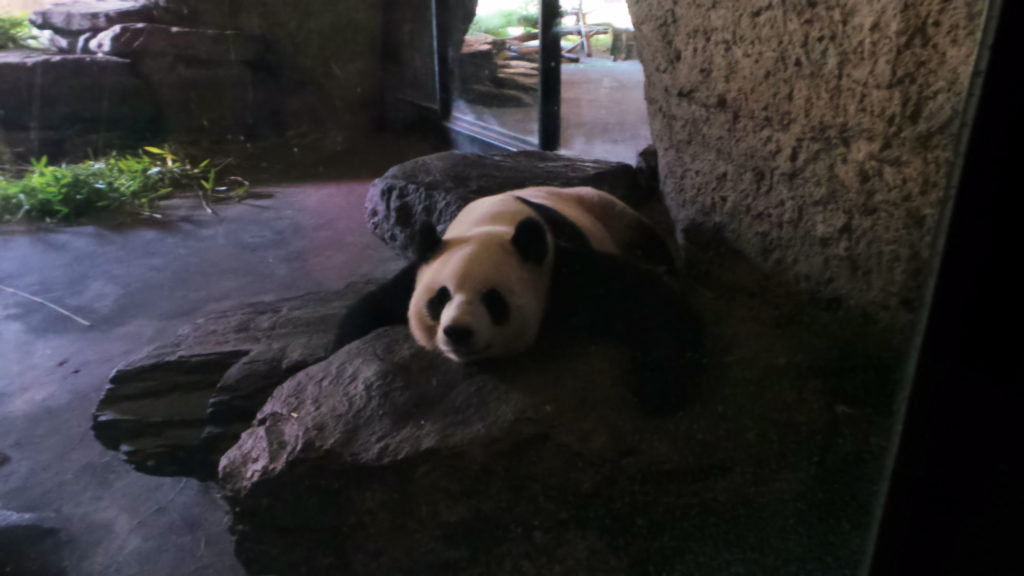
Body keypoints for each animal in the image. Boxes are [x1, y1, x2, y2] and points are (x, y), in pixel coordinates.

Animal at [333, 186, 702, 415]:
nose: (457, 332)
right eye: (440, 299)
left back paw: (665, 261)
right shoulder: (425, 263)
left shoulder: (557, 267)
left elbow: (644, 299)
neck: (492, 226)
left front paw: (660, 391)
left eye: (493, 300)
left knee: (640, 230)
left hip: (601, 206)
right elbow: (372, 307)